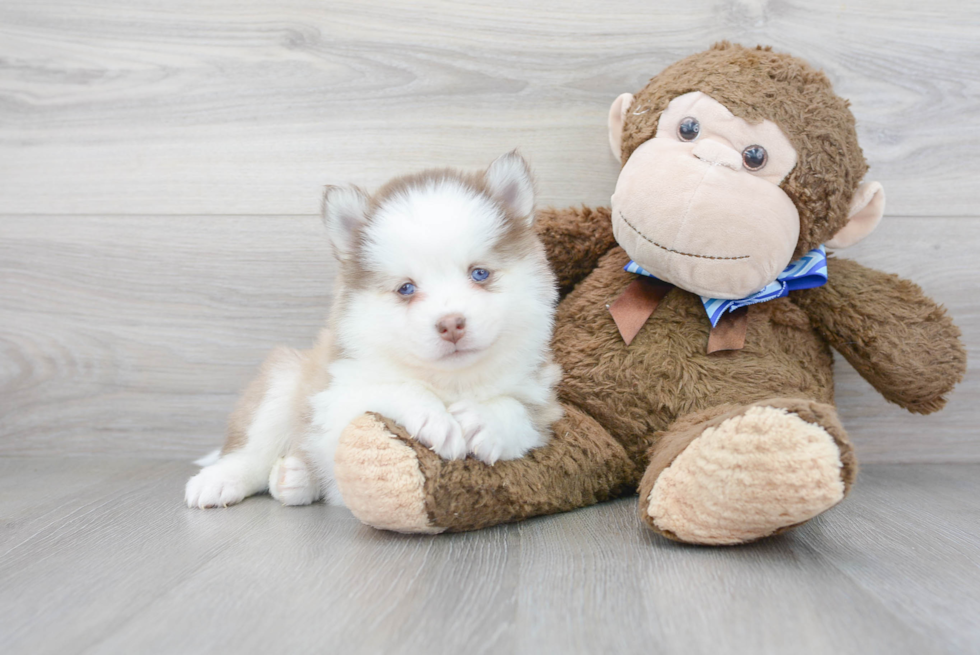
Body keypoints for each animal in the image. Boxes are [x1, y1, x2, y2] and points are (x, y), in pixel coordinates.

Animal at [187, 151, 564, 510]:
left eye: (480, 274)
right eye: (406, 288)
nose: (450, 324)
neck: (450, 382)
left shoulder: (544, 400)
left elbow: (520, 412)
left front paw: (484, 419)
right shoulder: (335, 395)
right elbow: (394, 387)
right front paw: (433, 416)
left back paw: (293, 478)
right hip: (283, 382)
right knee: (249, 450)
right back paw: (222, 479)